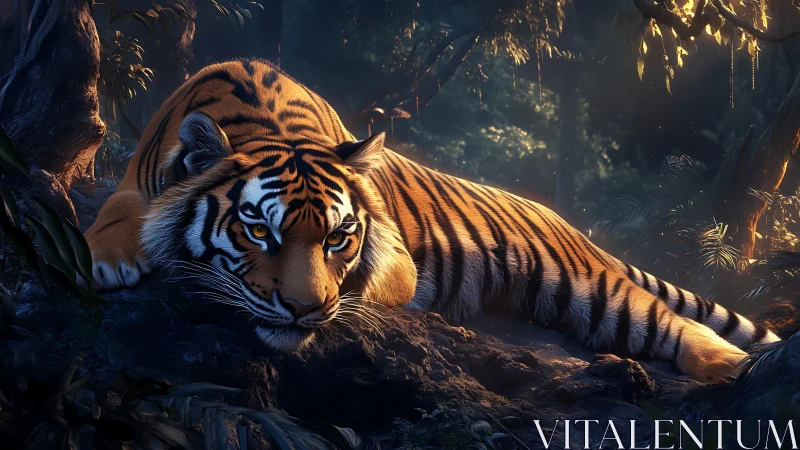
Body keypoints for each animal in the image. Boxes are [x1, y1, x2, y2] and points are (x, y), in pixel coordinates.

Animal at [84, 59, 779, 383]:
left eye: (339, 238)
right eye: (260, 231)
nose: (307, 312)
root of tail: (571, 224)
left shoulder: (395, 259)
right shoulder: (132, 182)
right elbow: (117, 214)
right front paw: (101, 259)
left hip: (591, 290)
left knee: (670, 321)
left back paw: (732, 367)